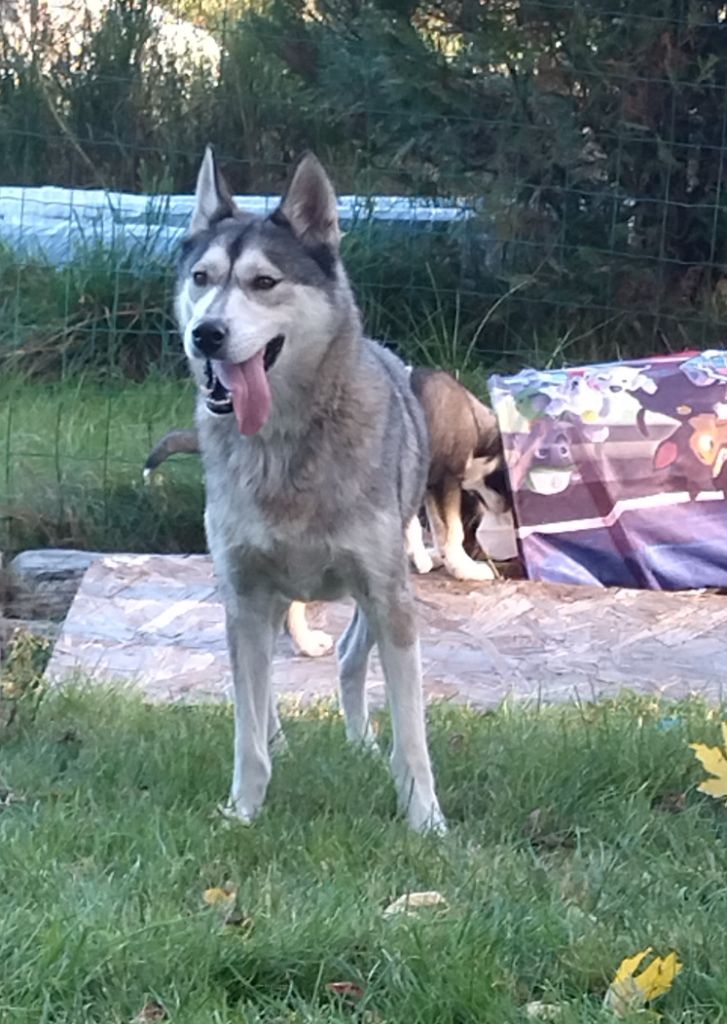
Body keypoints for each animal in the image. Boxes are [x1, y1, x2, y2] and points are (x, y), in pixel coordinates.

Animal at [178, 149, 444, 831]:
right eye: (201, 278)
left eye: (264, 282)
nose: (206, 333)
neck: (283, 446)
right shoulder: (245, 595)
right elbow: (245, 728)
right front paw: (244, 810)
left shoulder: (387, 595)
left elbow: (413, 734)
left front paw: (426, 821)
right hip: (260, 601)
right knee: (265, 688)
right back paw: (281, 739)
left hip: (381, 593)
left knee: (351, 659)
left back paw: (361, 744)